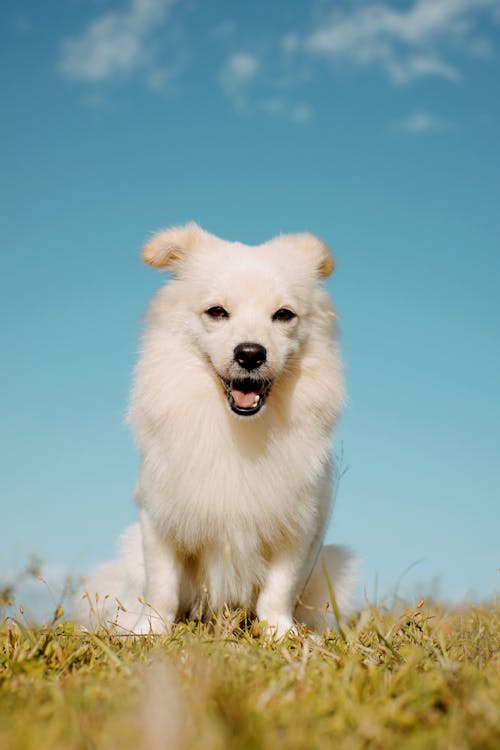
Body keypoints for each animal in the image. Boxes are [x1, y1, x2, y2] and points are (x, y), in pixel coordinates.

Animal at [75, 225, 356, 640]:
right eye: (217, 312)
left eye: (284, 315)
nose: (251, 354)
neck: (239, 429)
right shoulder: (158, 518)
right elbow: (161, 587)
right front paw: (150, 631)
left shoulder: (301, 526)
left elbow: (280, 589)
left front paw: (280, 633)